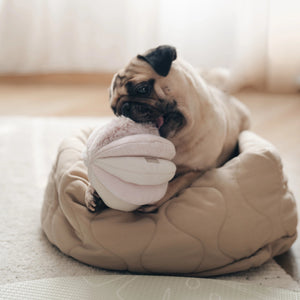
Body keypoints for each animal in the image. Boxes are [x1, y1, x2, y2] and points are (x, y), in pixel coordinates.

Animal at [85, 45, 250, 213]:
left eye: (142, 88)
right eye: (115, 111)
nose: (125, 108)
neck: (177, 138)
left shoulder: (197, 170)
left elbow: (176, 183)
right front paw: (93, 192)